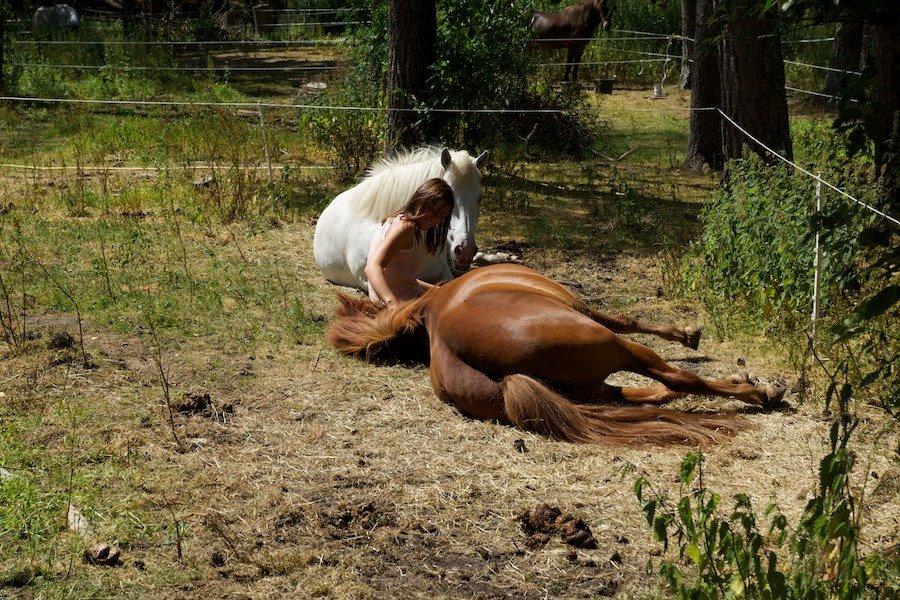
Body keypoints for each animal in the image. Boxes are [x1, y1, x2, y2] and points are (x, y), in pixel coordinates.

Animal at [326, 264, 784, 446]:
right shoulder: (588, 311)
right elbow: (626, 318)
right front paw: (688, 335)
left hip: (593, 388)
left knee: (642, 394)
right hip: (614, 347)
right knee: (674, 379)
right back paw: (760, 391)